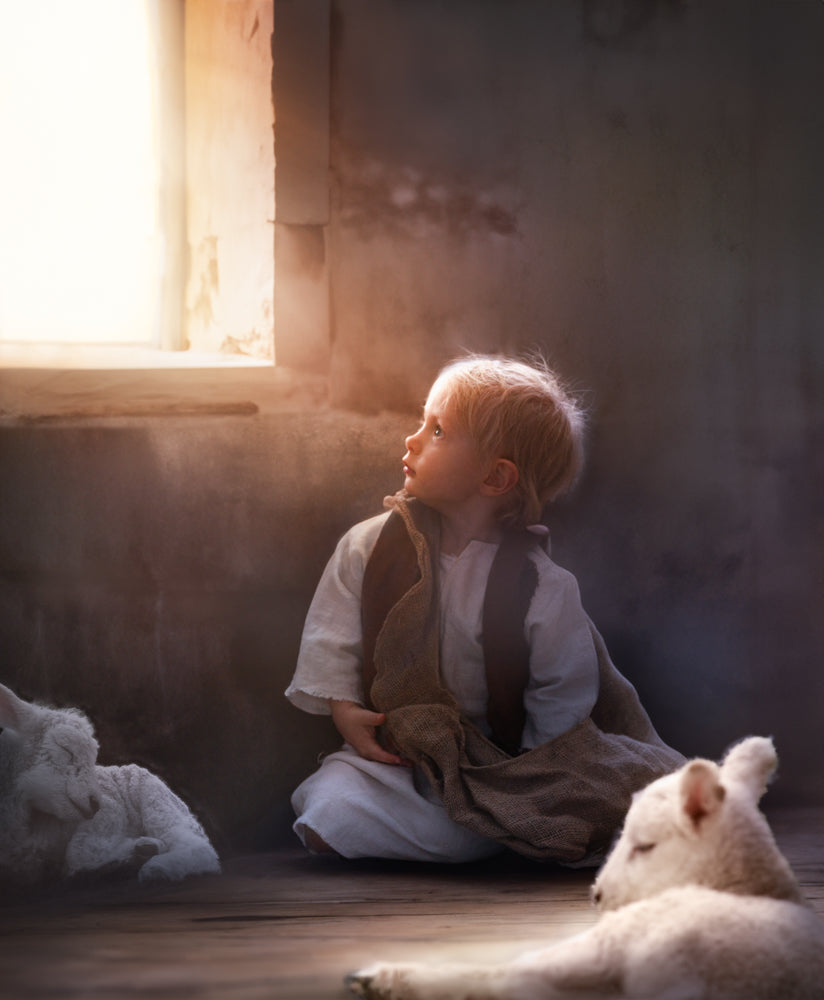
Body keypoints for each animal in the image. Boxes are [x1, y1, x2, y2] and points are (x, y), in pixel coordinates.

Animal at [0, 680, 220, 884]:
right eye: (66, 750)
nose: (95, 803)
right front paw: (136, 852)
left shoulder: (110, 811)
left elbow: (80, 851)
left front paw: (138, 851)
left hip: (155, 798)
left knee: (198, 847)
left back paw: (157, 868)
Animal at [346, 736, 824, 1000]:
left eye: (644, 846)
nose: (597, 895)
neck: (744, 884)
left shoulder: (618, 942)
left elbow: (495, 975)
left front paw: (385, 977)